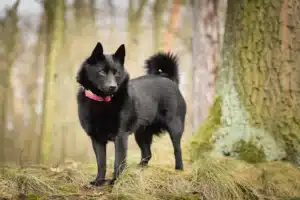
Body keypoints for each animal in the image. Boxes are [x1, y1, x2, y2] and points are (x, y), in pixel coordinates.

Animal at [76, 42, 186, 186]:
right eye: (102, 72)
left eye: (116, 72)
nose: (112, 87)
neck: (103, 101)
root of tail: (169, 79)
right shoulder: (96, 139)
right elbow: (101, 163)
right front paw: (98, 181)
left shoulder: (120, 136)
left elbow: (118, 161)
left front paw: (115, 181)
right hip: (141, 133)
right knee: (147, 153)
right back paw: (139, 169)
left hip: (174, 127)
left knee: (177, 150)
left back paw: (179, 169)